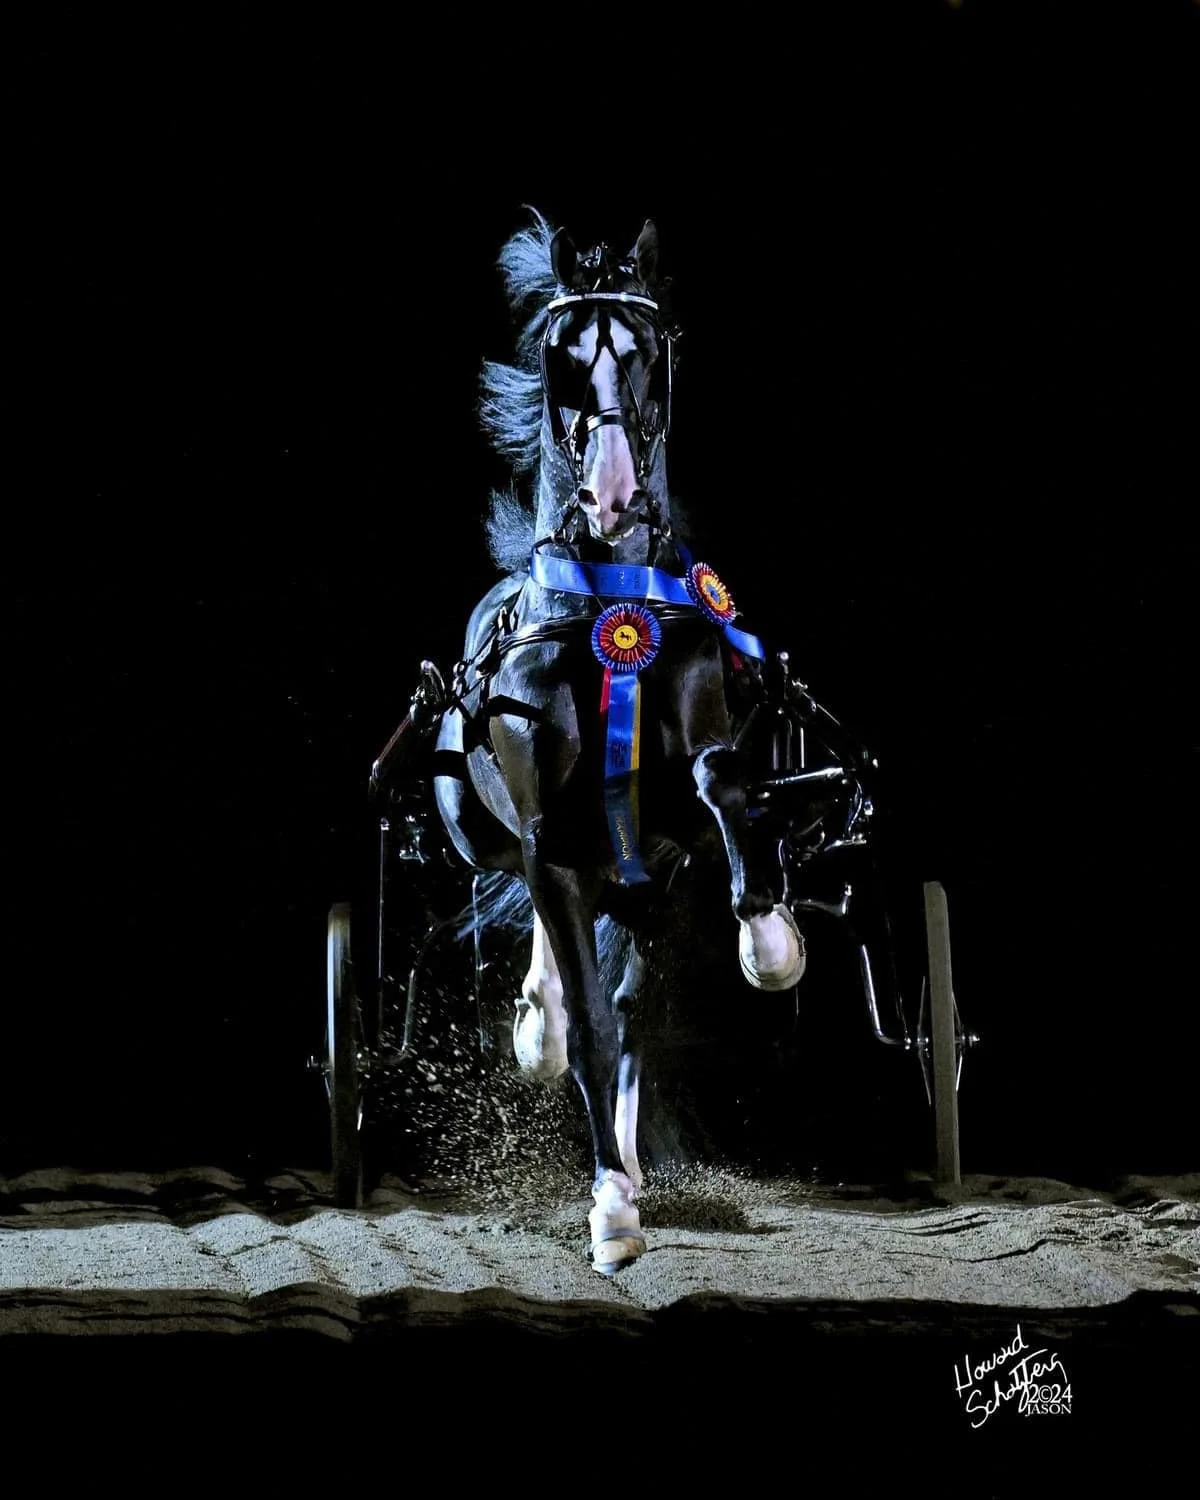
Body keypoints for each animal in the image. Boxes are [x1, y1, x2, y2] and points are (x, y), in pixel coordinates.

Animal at [428, 210, 807, 1273]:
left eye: (648, 351)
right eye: (558, 354)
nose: (609, 494)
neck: (609, 599)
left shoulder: (679, 799)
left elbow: (722, 781)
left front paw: (771, 939)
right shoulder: (552, 838)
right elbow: (591, 1022)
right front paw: (610, 1211)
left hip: (647, 875)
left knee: (634, 993)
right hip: (485, 832)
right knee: (538, 921)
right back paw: (540, 1027)